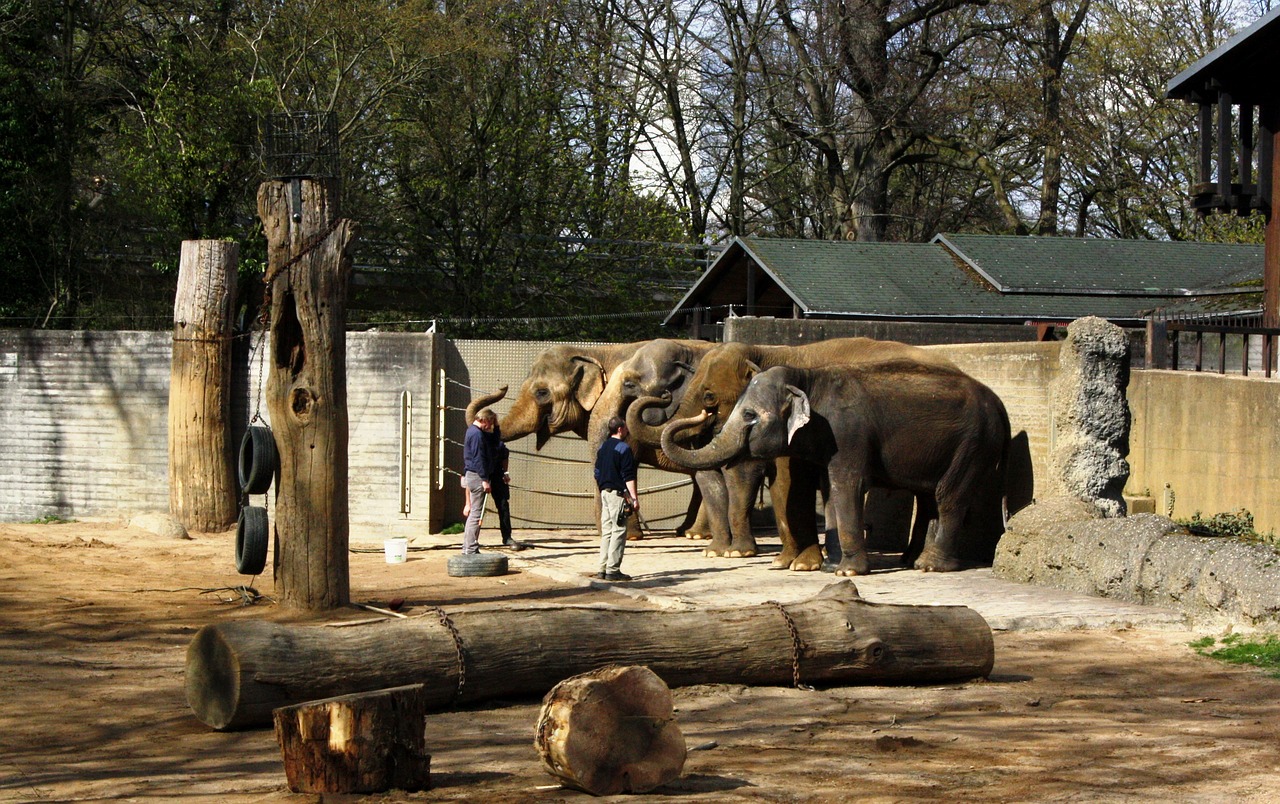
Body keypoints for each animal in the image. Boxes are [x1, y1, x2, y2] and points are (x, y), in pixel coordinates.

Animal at [624, 337, 957, 565]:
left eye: (709, 397)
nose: (663, 396)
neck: (766, 351)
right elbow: (779, 482)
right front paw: (783, 562)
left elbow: (761, 475)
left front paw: (753, 557)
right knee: (927, 495)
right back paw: (909, 558)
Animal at [660, 361, 1008, 573]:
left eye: (749, 415)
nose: (705, 413)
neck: (808, 376)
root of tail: (1002, 408)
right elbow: (829, 491)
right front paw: (832, 567)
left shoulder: (848, 433)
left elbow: (846, 485)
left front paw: (848, 572)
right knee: (929, 499)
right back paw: (915, 561)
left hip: (974, 445)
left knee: (949, 497)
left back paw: (931, 566)